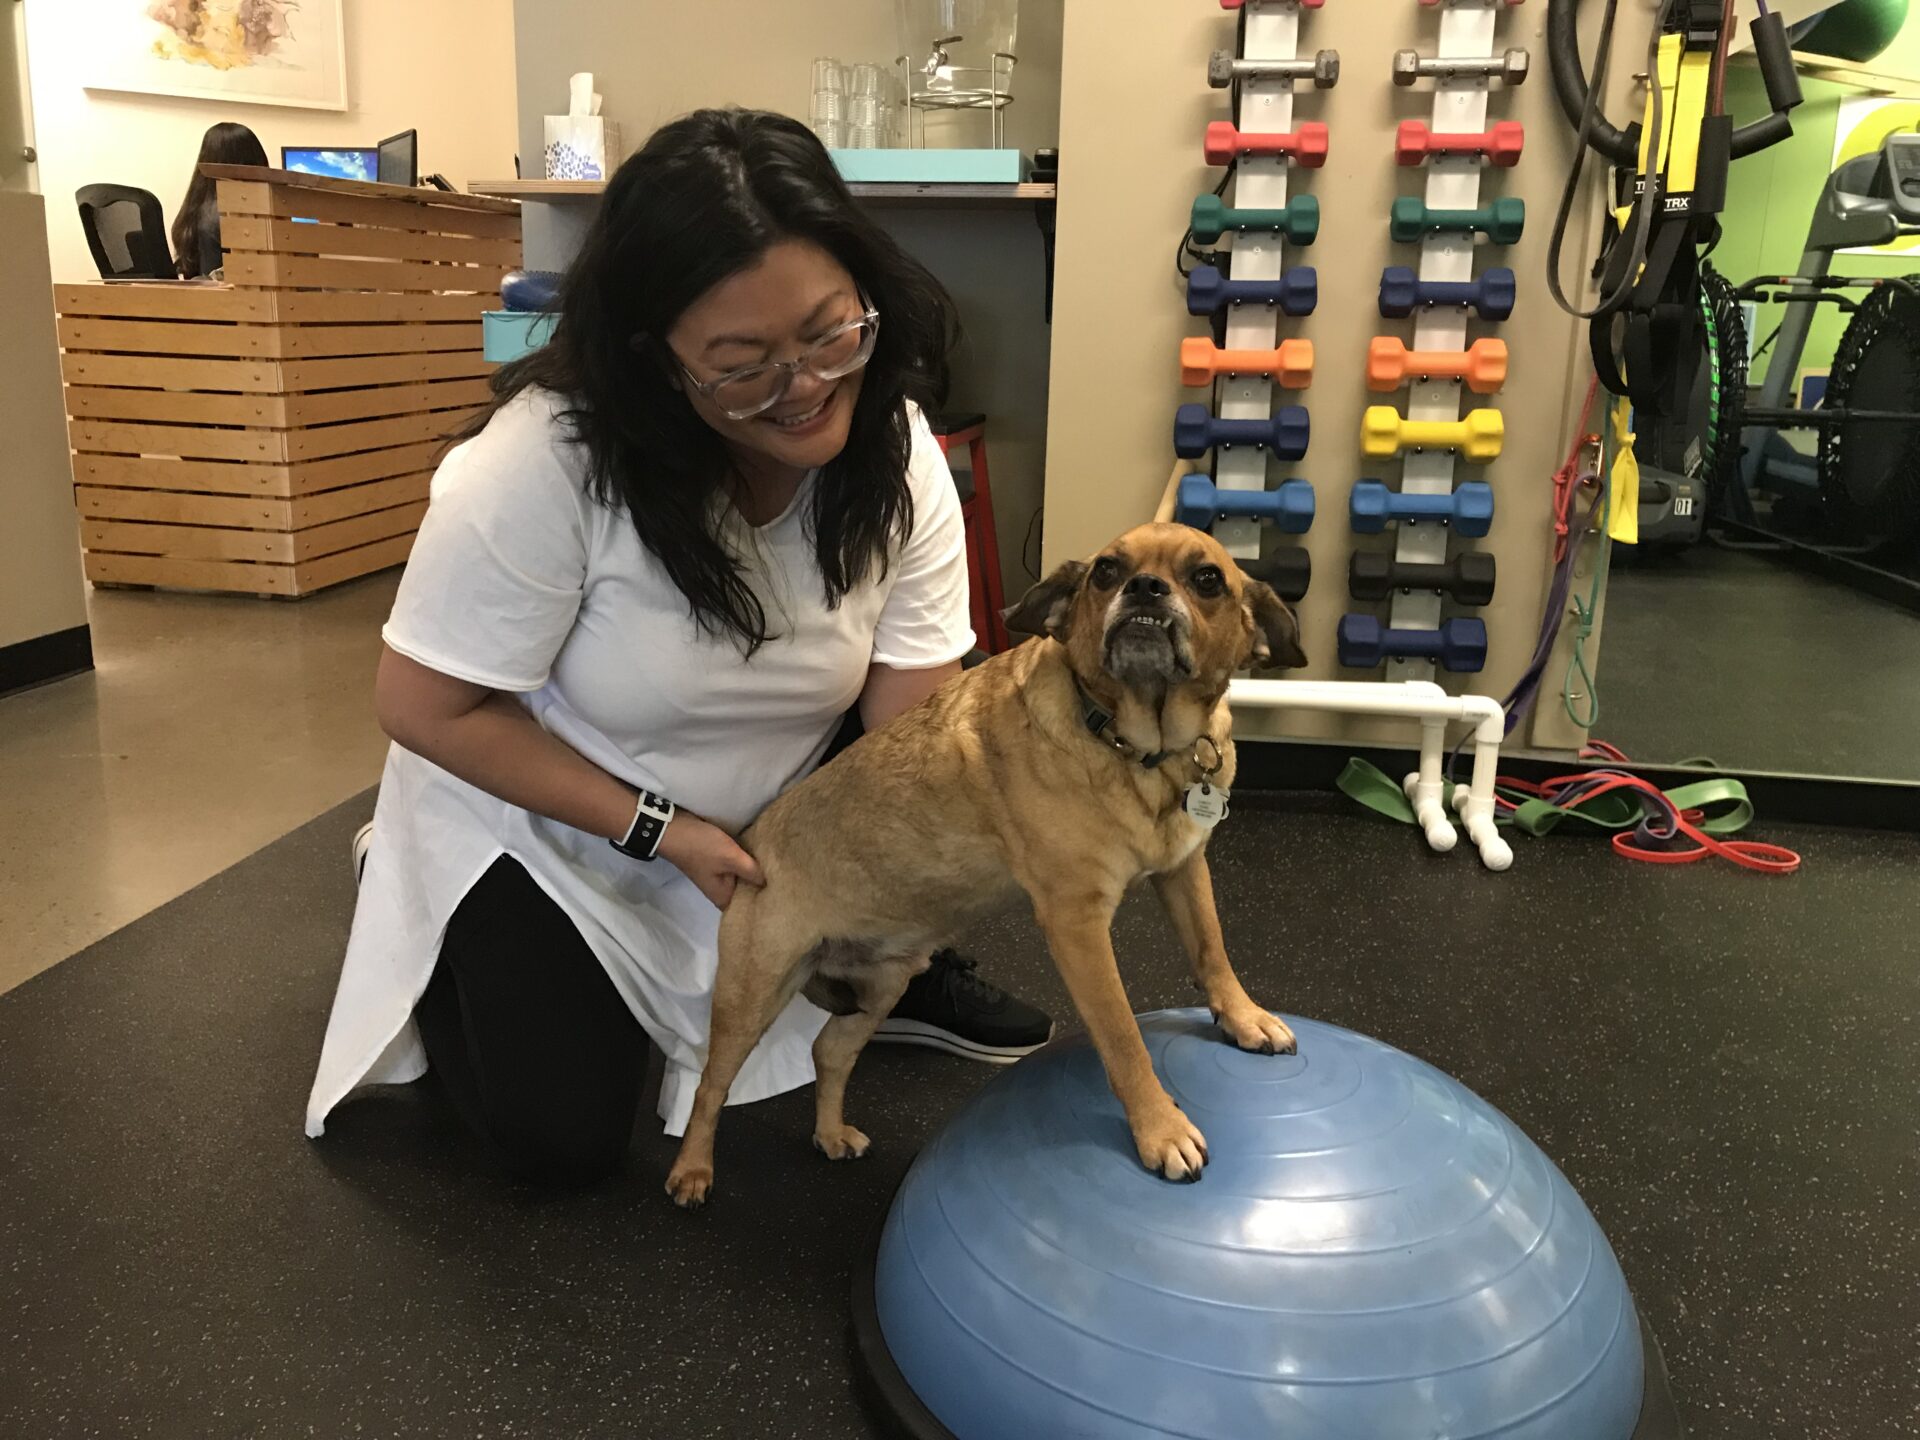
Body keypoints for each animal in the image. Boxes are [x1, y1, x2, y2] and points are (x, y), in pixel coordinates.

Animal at [660, 522, 1305, 1205]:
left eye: (1207, 578)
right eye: (1106, 571)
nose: (1145, 587)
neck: (1137, 747)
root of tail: (756, 839)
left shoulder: (1183, 870)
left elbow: (1212, 952)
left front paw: (1244, 1019)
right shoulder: (1077, 926)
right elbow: (1124, 1039)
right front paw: (1161, 1129)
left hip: (883, 985)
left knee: (830, 1051)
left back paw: (831, 1134)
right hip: (755, 992)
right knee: (709, 1084)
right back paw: (692, 1171)